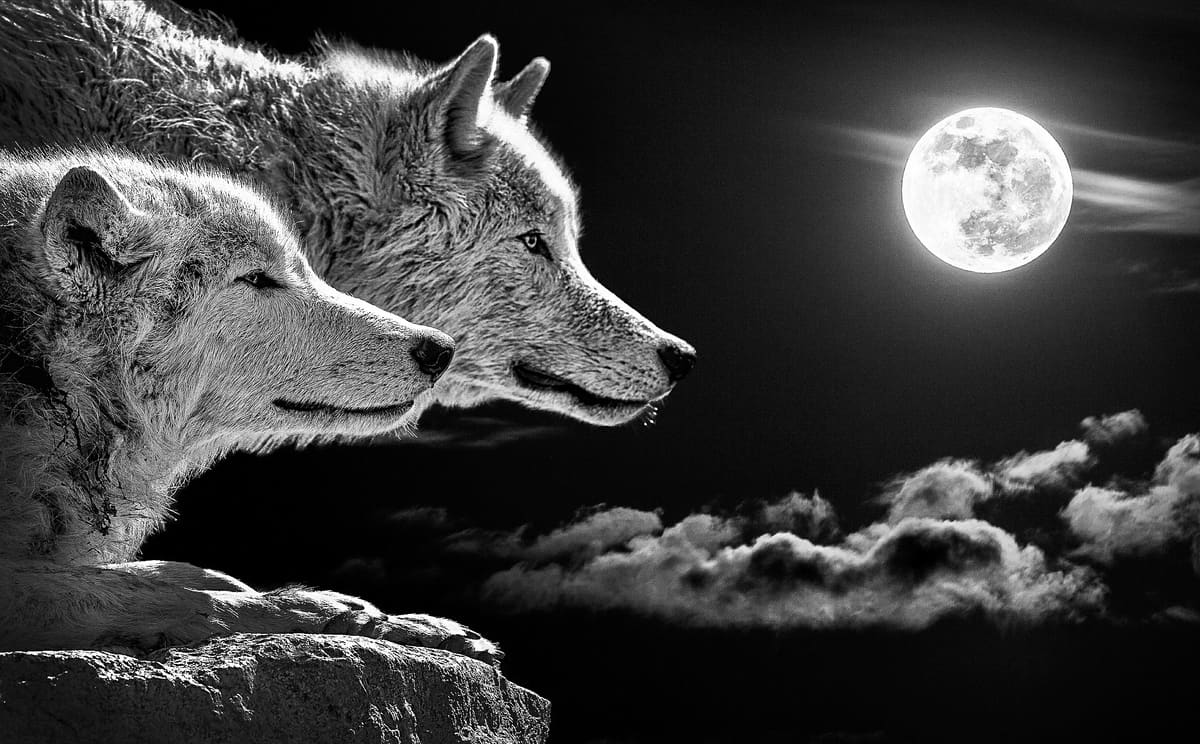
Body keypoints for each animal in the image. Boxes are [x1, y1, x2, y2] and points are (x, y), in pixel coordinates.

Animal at [0, 150, 499, 662]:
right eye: (257, 278)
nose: (441, 349)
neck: (48, 380)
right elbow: (178, 594)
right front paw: (331, 613)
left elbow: (182, 572)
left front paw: (403, 622)